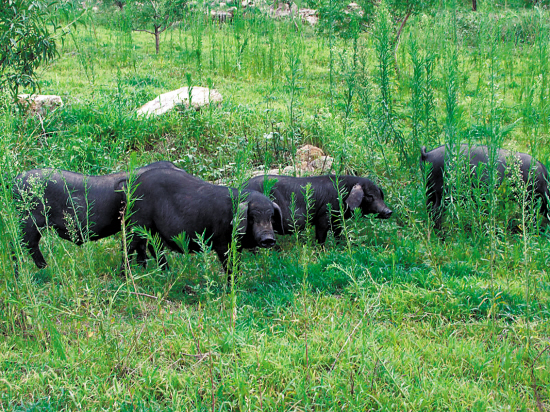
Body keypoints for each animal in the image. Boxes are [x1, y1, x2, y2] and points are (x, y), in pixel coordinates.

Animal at [245, 175, 392, 245]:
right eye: (370, 196)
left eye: (380, 195)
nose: (388, 211)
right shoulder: (323, 215)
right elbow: (321, 236)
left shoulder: (337, 219)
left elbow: (338, 233)